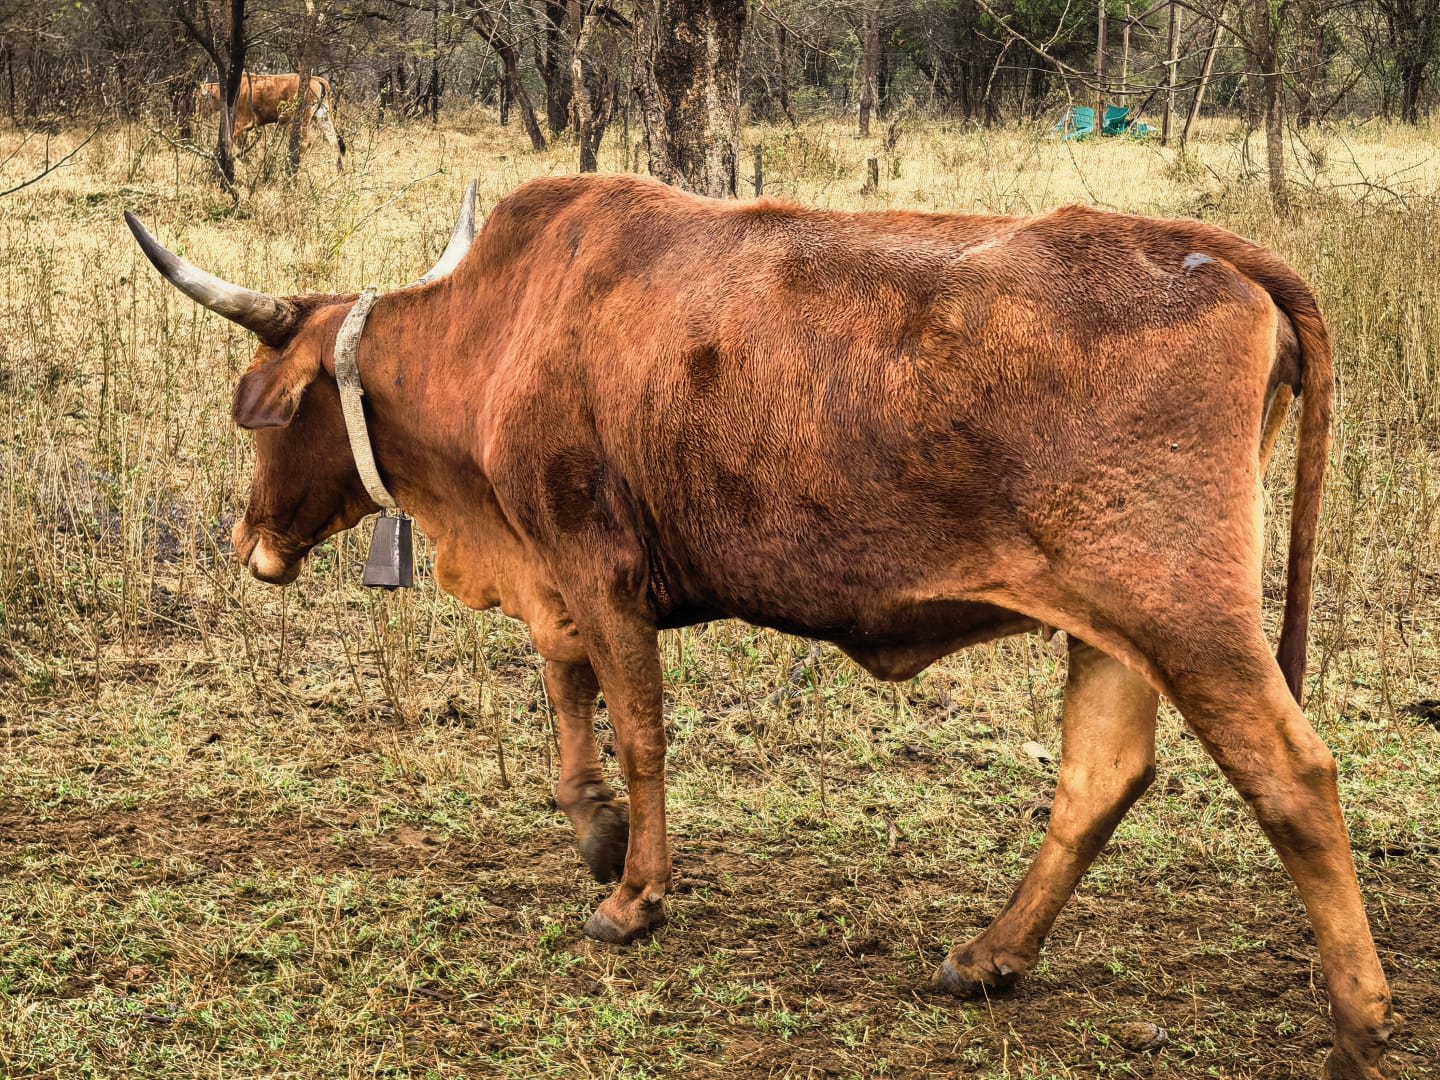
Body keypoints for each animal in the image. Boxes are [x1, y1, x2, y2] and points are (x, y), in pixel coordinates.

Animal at [124, 174, 1393, 1078]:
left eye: (263, 413)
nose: (250, 541)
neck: (507, 322)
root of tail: (1205, 247)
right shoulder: (557, 576)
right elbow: (567, 691)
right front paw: (594, 829)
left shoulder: (596, 568)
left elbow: (634, 725)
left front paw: (633, 895)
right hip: (1111, 623)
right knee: (1101, 777)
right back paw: (991, 959)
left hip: (1187, 614)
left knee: (1294, 778)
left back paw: (1359, 1022)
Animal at [198, 72, 346, 171]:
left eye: (201, 98)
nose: (198, 114)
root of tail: (316, 79)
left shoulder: (241, 124)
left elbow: (228, 141)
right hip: (322, 117)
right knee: (334, 142)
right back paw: (339, 171)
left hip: (304, 116)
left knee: (304, 142)